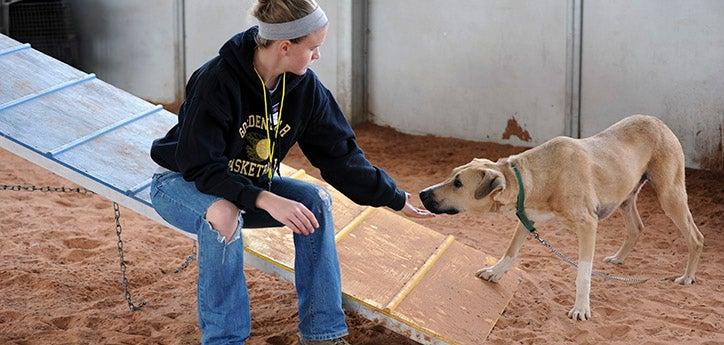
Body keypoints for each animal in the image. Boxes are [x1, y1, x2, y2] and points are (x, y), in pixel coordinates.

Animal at [418, 115, 700, 320]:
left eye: (458, 183)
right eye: (451, 175)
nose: (421, 193)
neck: (533, 178)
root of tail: (660, 122)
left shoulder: (588, 225)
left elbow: (583, 273)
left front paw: (581, 308)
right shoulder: (527, 218)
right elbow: (511, 251)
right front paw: (495, 272)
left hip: (670, 194)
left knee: (695, 237)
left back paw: (687, 277)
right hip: (626, 198)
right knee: (637, 227)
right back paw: (619, 258)